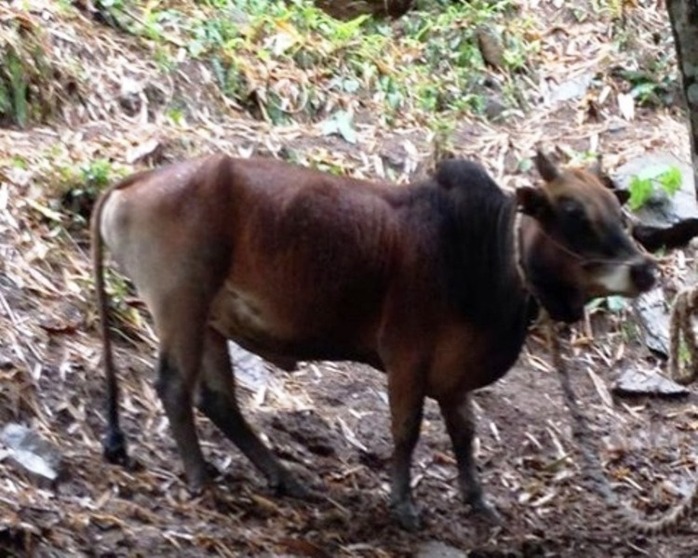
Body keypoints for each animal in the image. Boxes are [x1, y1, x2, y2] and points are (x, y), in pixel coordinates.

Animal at [91, 151, 652, 532]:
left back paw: (284, 478)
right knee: (173, 387)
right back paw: (200, 477)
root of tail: (138, 179)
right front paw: (404, 504)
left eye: (617, 210)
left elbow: (465, 434)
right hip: (180, 305)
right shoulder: (406, 356)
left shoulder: (453, 375)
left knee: (218, 400)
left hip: (209, 321)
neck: (481, 252)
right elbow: (406, 430)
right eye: (574, 212)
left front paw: (477, 500)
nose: (644, 270)